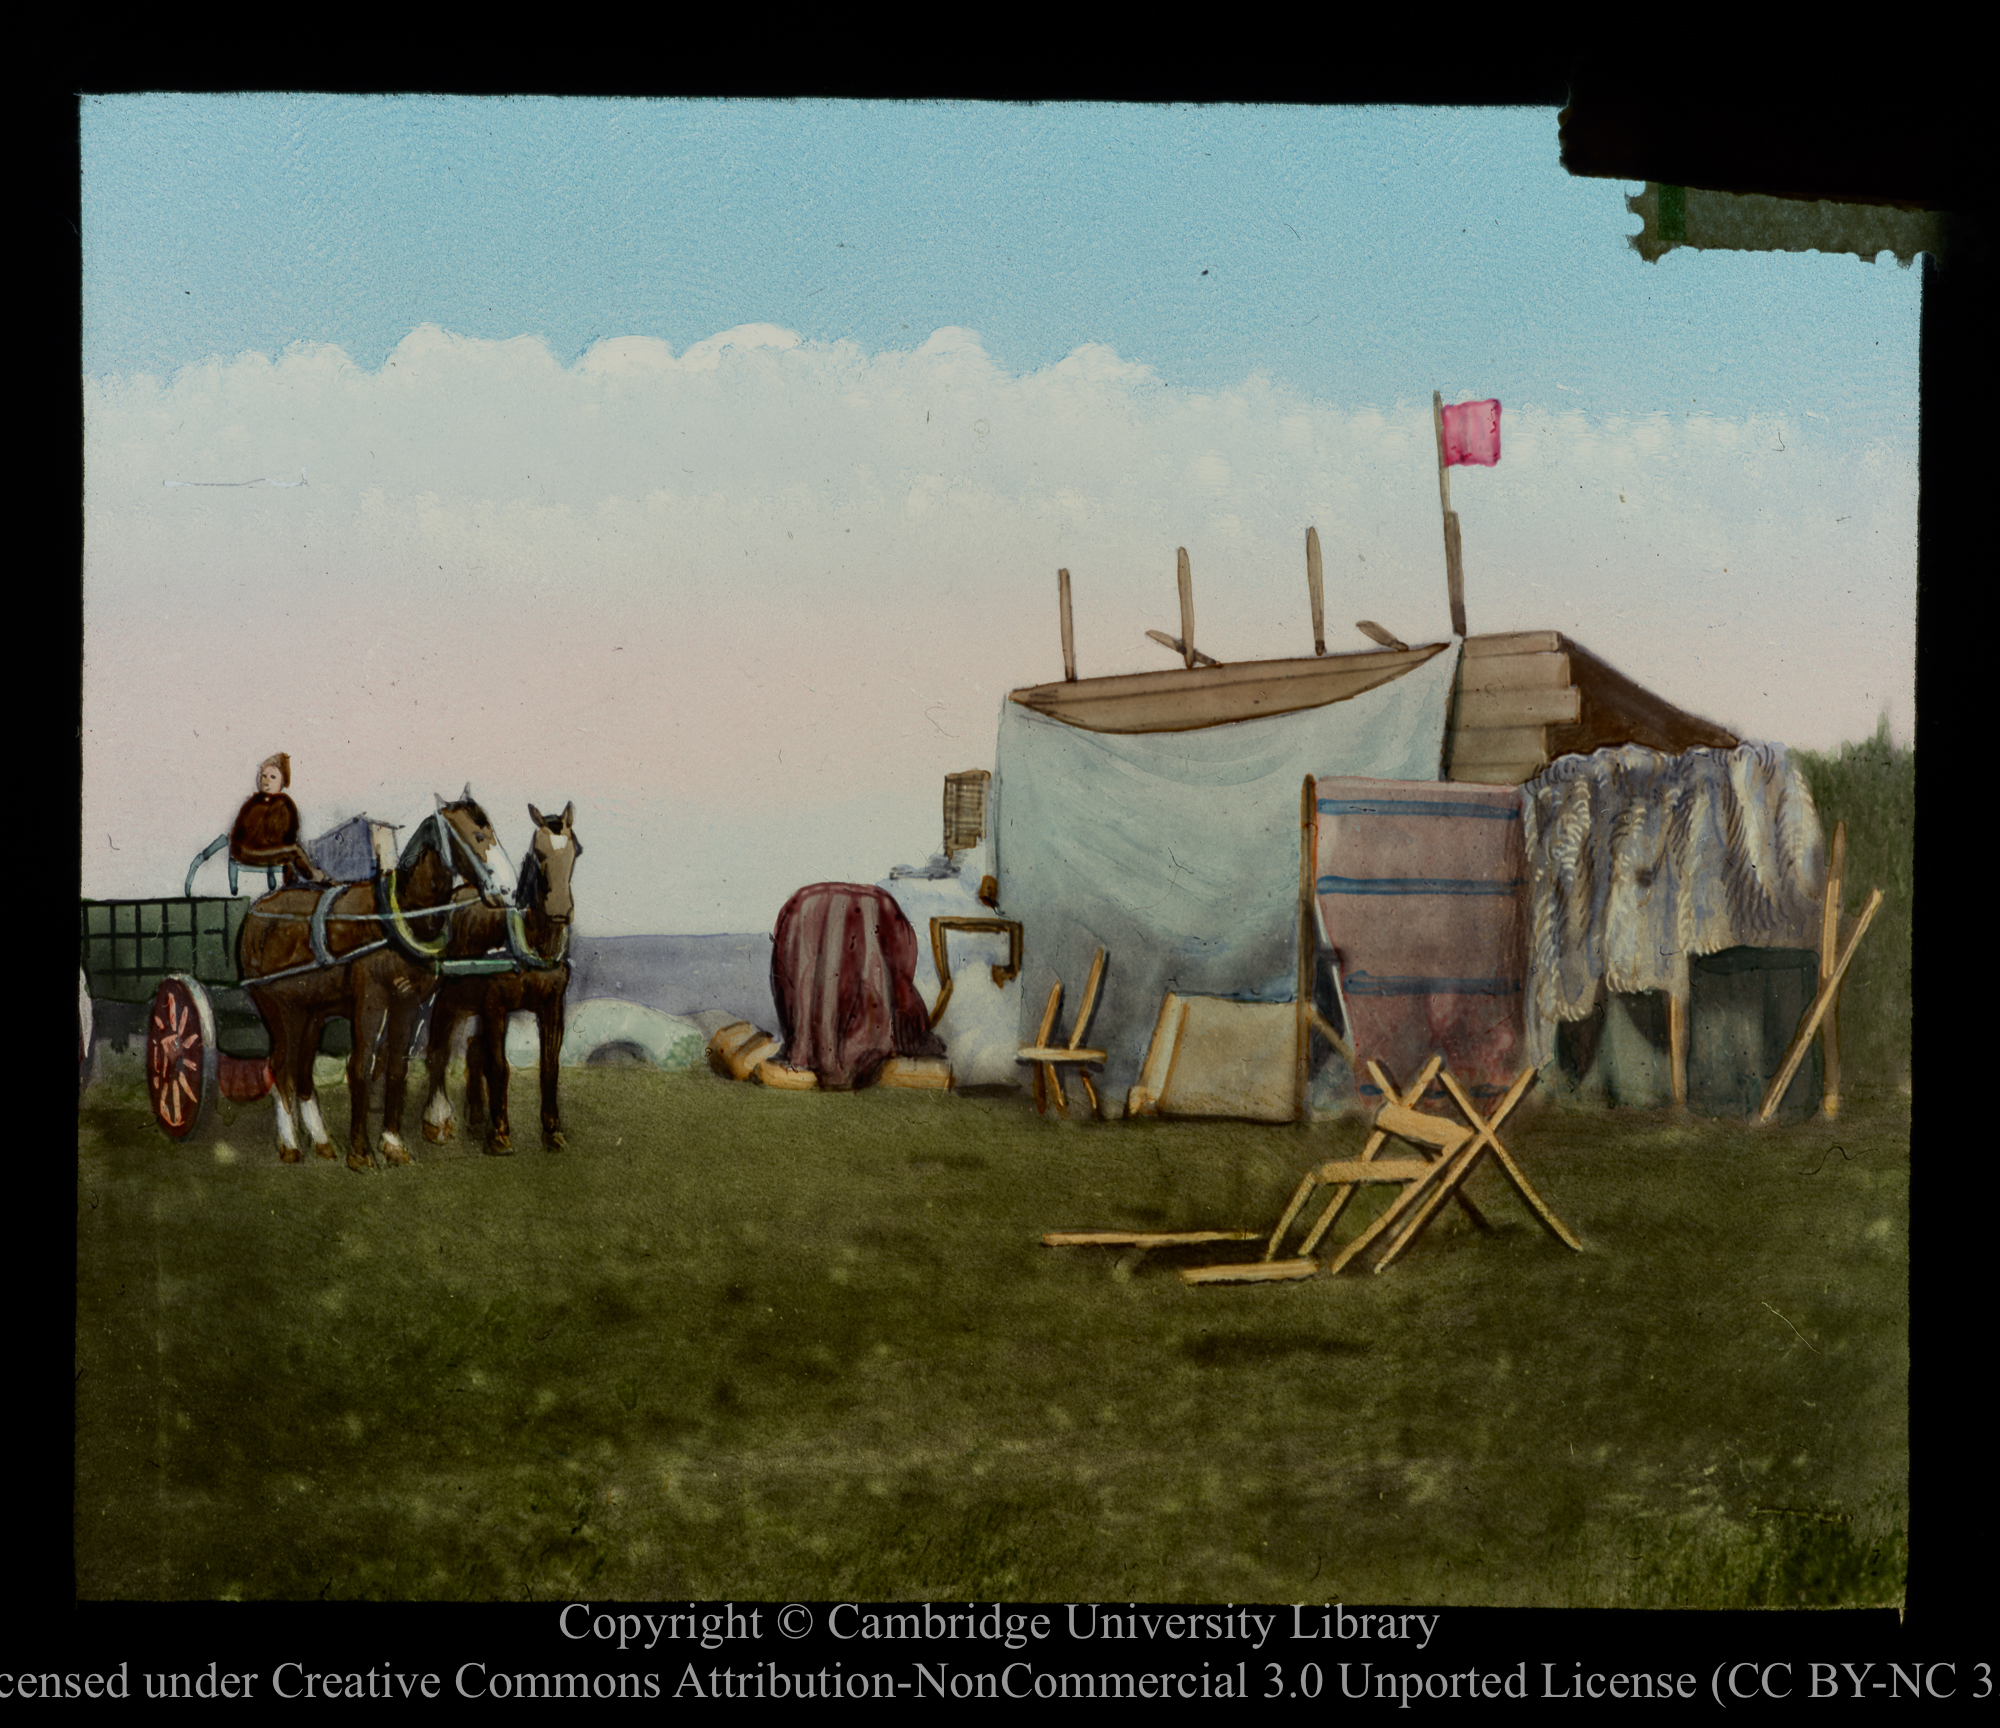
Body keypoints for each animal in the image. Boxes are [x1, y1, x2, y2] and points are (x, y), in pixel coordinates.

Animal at [239, 788, 516, 1176]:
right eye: (477, 836)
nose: (507, 889)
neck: (397, 917)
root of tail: (257, 912)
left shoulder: (408, 1003)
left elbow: (397, 1068)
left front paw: (392, 1143)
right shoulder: (370, 1003)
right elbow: (361, 1066)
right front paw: (360, 1151)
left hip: (311, 1013)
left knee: (302, 1069)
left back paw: (321, 1141)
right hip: (278, 1009)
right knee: (280, 1067)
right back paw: (290, 1144)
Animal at [418, 804, 580, 1152]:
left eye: (577, 850)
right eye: (538, 852)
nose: (560, 910)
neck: (530, 939)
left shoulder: (552, 1006)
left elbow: (549, 1067)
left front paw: (551, 1130)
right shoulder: (495, 1006)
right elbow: (499, 1066)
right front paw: (501, 1134)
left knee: (473, 1048)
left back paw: (477, 1115)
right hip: (450, 997)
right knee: (438, 1050)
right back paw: (437, 1119)